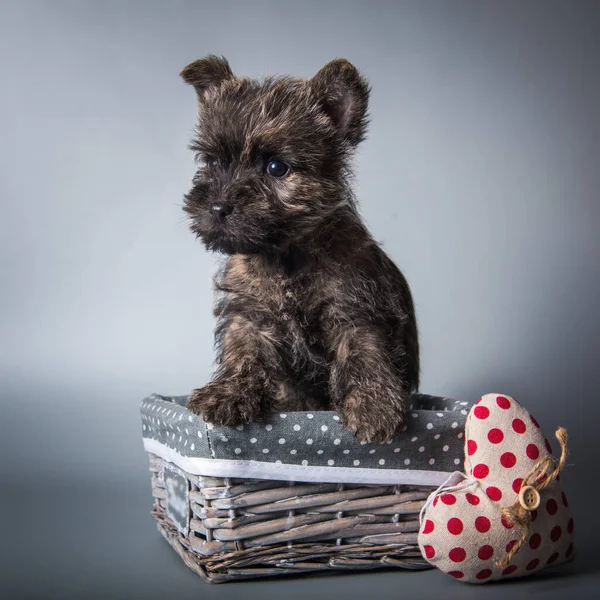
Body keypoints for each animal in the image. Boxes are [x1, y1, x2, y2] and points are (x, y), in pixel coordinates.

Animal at [180, 56, 420, 440]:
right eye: (213, 162)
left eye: (277, 167)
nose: (217, 207)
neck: (285, 258)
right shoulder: (248, 317)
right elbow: (242, 354)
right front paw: (228, 393)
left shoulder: (354, 310)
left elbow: (365, 354)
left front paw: (374, 406)